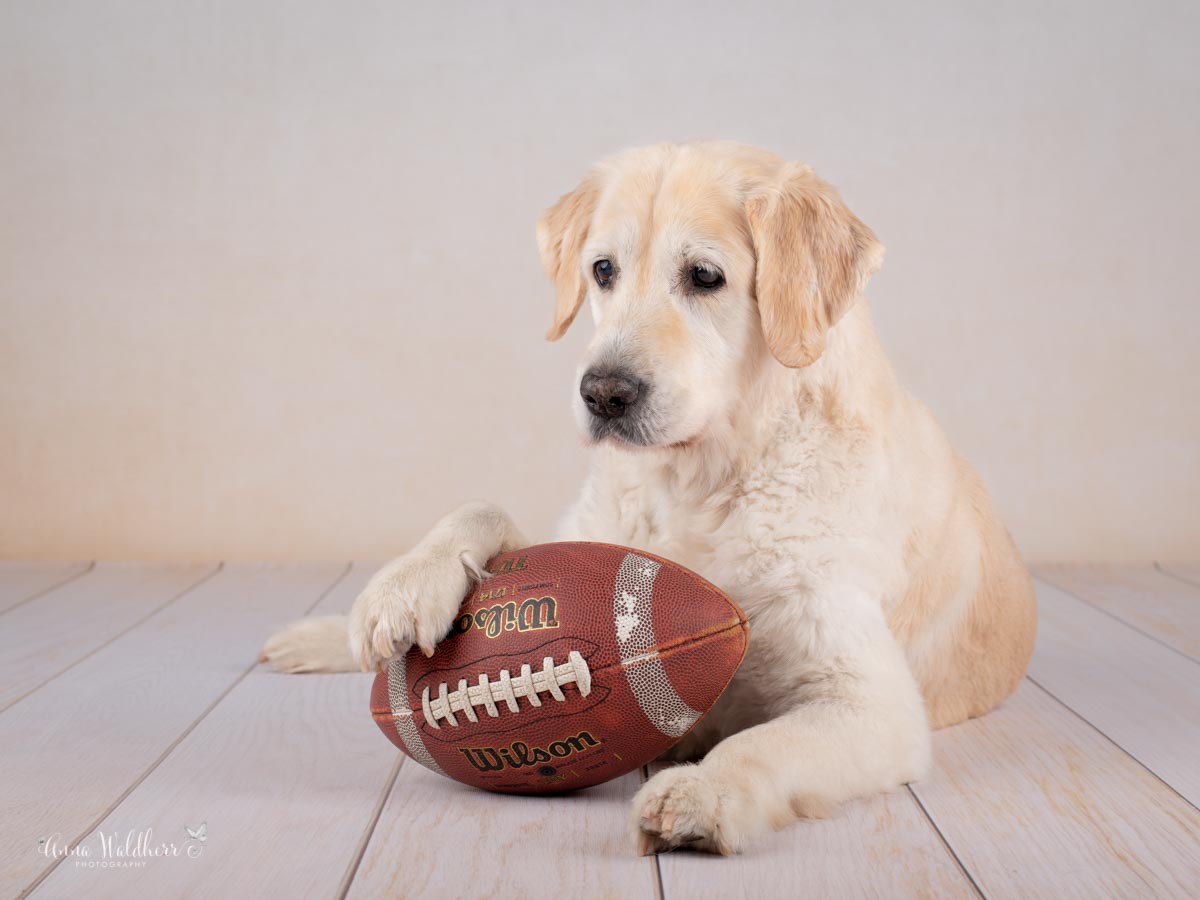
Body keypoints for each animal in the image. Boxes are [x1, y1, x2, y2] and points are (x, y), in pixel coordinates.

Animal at [265, 142, 1041, 859]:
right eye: (602, 270)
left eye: (705, 277)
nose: (603, 393)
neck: (700, 482)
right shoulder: (584, 533)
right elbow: (484, 508)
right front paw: (404, 587)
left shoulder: (872, 701)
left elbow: (764, 743)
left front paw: (702, 790)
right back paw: (315, 634)